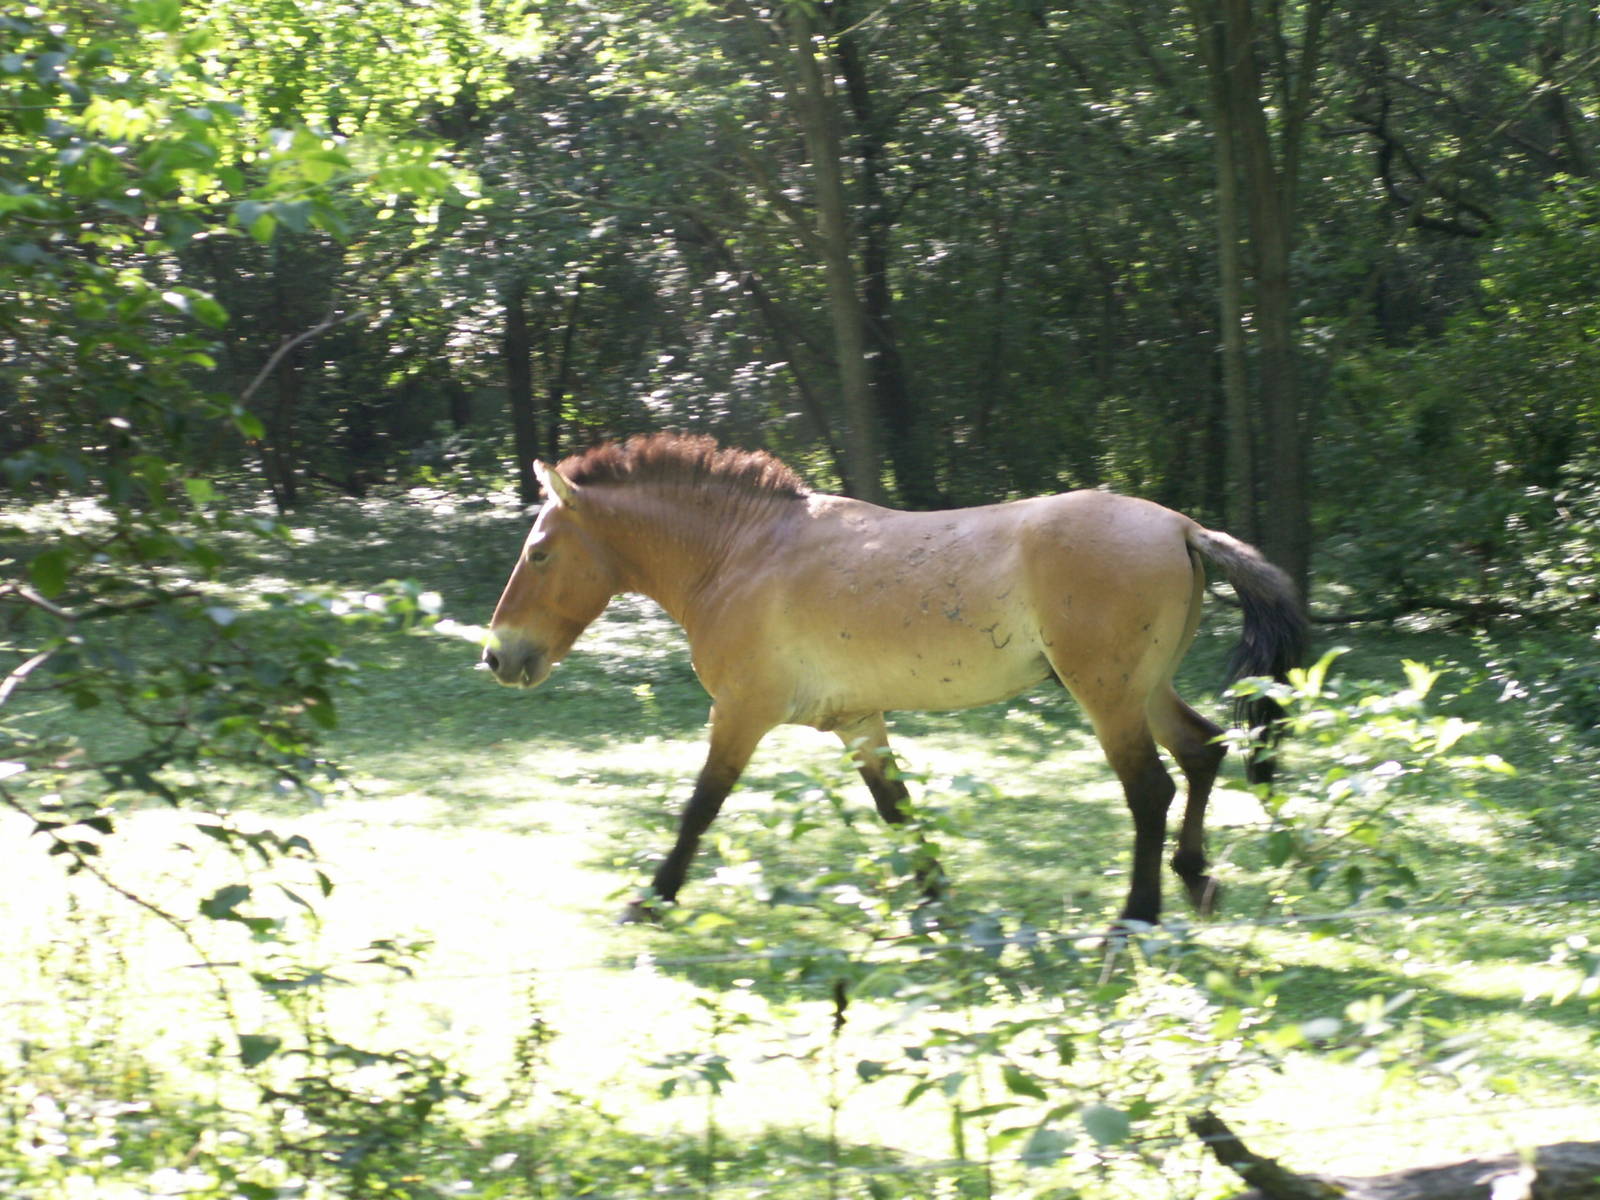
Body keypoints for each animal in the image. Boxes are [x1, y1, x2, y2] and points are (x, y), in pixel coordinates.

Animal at [481, 433, 1307, 926]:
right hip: (1142, 688)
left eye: (540, 554)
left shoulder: (742, 713)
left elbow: (700, 808)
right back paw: (1197, 880)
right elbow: (899, 811)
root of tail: (1180, 527)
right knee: (1202, 751)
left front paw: (651, 900)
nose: (497, 657)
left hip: (1105, 695)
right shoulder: (857, 721)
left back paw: (1135, 916)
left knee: (1151, 790)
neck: (742, 554)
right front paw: (941, 904)